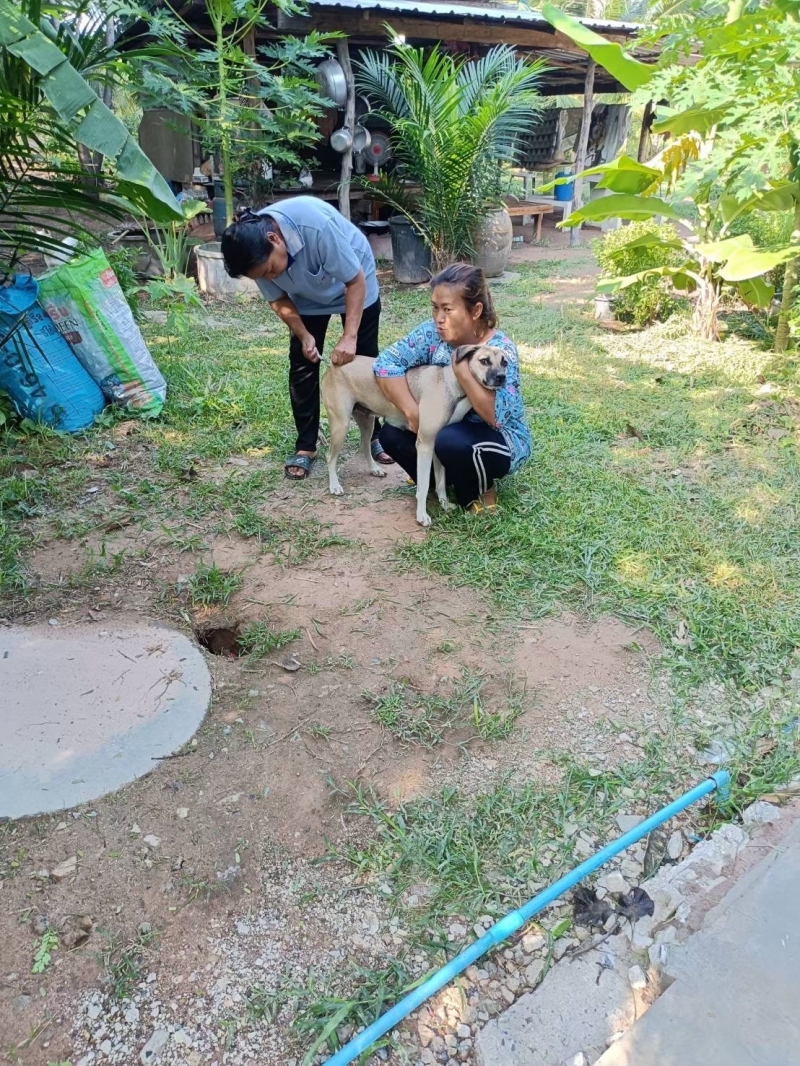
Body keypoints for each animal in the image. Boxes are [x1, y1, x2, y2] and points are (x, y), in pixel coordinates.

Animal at [321, 344, 509, 526]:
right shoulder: (425, 444)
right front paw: (421, 515)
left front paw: (444, 504)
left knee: (365, 446)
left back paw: (374, 469)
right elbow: (424, 485)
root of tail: (333, 366)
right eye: (484, 361)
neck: (453, 385)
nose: (502, 377)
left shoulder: (435, 445)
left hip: (367, 422)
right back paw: (335, 485)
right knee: (330, 457)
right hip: (341, 425)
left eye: (504, 362)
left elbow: (440, 481)